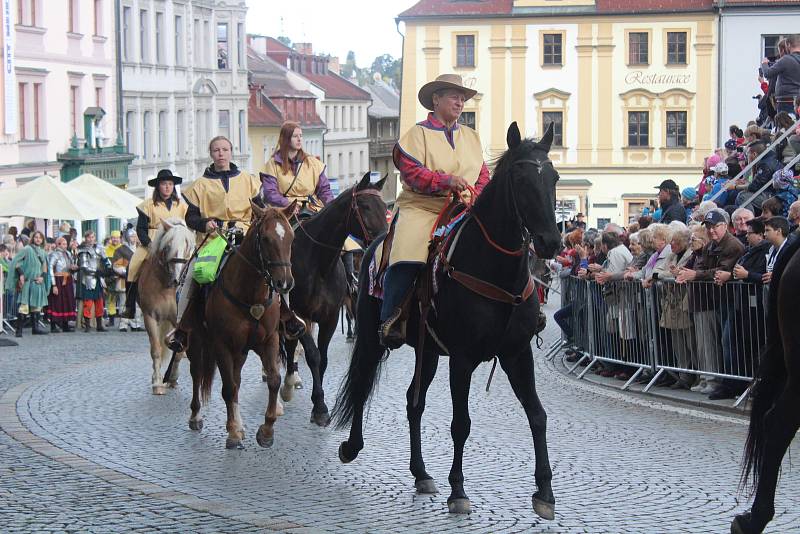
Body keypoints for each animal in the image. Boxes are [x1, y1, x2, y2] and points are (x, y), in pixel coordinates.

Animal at [137, 219, 195, 398]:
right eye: (168, 246)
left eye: (187, 246)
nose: (177, 279)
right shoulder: (150, 317)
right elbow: (156, 349)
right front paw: (157, 382)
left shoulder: (182, 321)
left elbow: (179, 351)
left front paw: (173, 378)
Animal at [186, 202, 296, 452]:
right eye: (265, 238)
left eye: (291, 237)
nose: (284, 283)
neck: (250, 294)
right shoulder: (222, 345)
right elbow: (228, 388)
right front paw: (233, 433)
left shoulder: (269, 341)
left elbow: (273, 380)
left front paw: (266, 431)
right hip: (197, 342)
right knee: (197, 373)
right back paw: (197, 416)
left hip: (241, 352)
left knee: (235, 381)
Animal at [280, 174, 386, 430]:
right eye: (365, 206)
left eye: (384, 205)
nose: (385, 239)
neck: (318, 263)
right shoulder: (299, 315)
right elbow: (313, 355)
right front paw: (320, 407)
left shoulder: (329, 318)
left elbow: (324, 359)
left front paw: (318, 404)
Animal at [332, 124, 564, 520]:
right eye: (520, 179)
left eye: (554, 177)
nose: (550, 242)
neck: (495, 272)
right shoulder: (463, 359)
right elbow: (461, 424)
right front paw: (458, 490)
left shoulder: (517, 354)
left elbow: (538, 415)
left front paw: (545, 493)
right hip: (373, 339)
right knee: (362, 384)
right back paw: (352, 446)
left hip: (427, 353)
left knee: (414, 403)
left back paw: (421, 473)